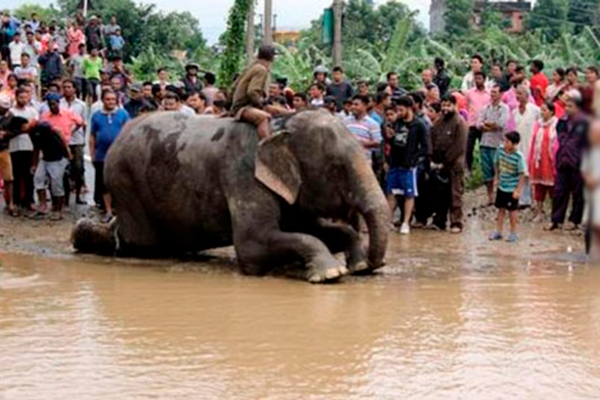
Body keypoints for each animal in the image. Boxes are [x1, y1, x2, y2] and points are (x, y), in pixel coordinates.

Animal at [72, 109, 392, 282]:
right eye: (337, 168)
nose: (375, 265)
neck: (281, 124)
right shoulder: (242, 175)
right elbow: (254, 244)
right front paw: (331, 274)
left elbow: (318, 229)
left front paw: (357, 266)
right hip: (126, 183)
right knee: (137, 242)